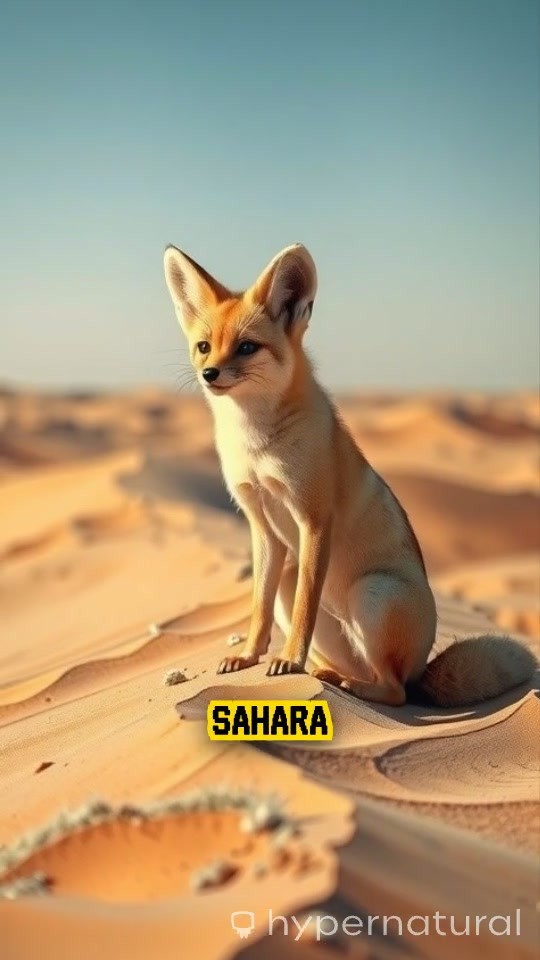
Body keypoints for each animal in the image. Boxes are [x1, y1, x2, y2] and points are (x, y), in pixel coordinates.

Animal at [163, 242, 537, 707]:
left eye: (247, 347)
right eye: (203, 346)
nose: (209, 374)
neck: (258, 447)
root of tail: (423, 668)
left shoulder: (314, 519)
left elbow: (306, 606)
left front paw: (289, 662)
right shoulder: (262, 527)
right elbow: (258, 609)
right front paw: (250, 656)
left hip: (371, 593)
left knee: (396, 692)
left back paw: (355, 687)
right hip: (299, 588)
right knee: (361, 670)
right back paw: (329, 675)